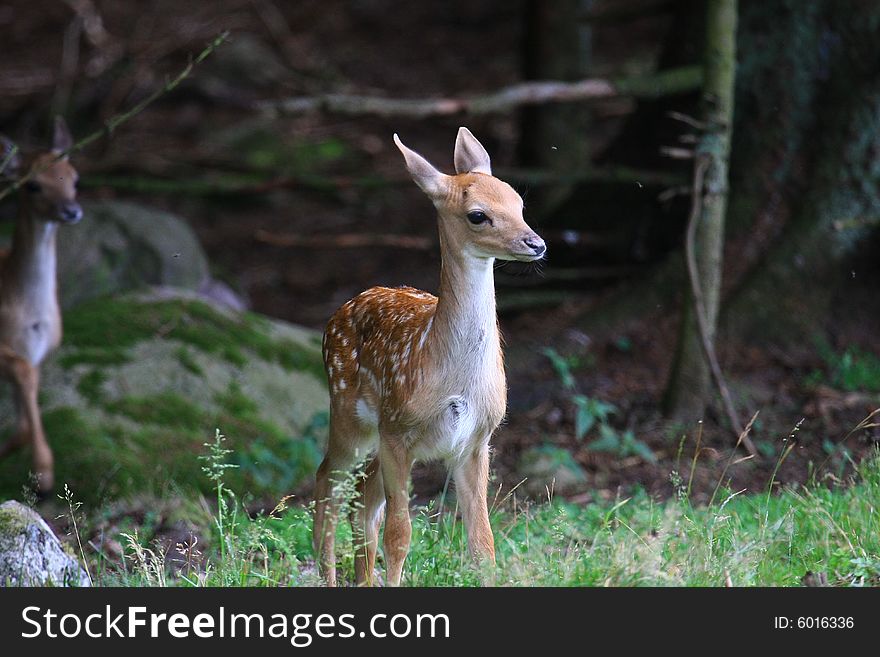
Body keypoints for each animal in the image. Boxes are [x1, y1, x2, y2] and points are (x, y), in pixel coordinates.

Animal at [312, 127, 548, 584]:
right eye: (478, 215)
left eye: (519, 202)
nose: (536, 243)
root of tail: (344, 307)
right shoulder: (399, 430)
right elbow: (400, 535)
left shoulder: (477, 440)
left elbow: (483, 542)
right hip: (349, 411)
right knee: (328, 483)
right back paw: (327, 576)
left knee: (362, 499)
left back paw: (361, 578)